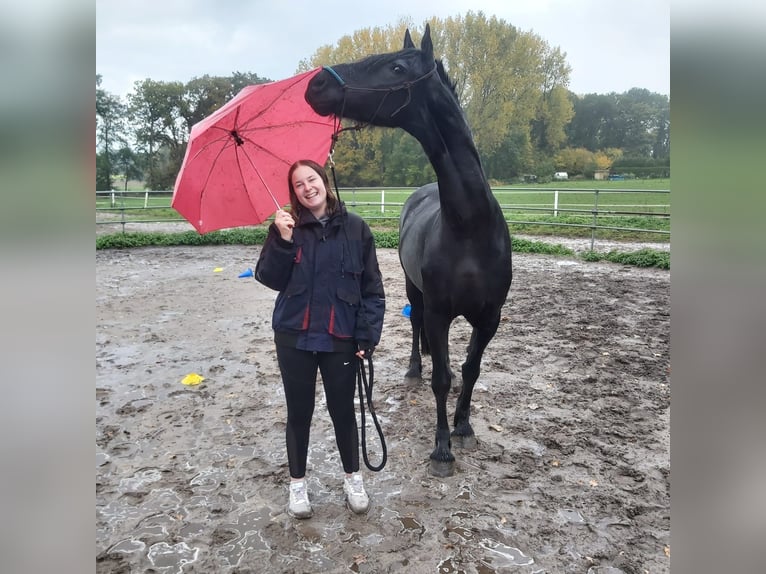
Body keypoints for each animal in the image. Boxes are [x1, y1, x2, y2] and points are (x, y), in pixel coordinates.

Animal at [305, 24, 512, 477]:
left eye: (397, 67)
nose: (317, 84)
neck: (470, 228)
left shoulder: (489, 317)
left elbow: (471, 369)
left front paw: (464, 428)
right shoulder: (437, 311)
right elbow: (440, 377)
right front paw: (441, 450)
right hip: (413, 291)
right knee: (417, 327)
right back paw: (415, 369)